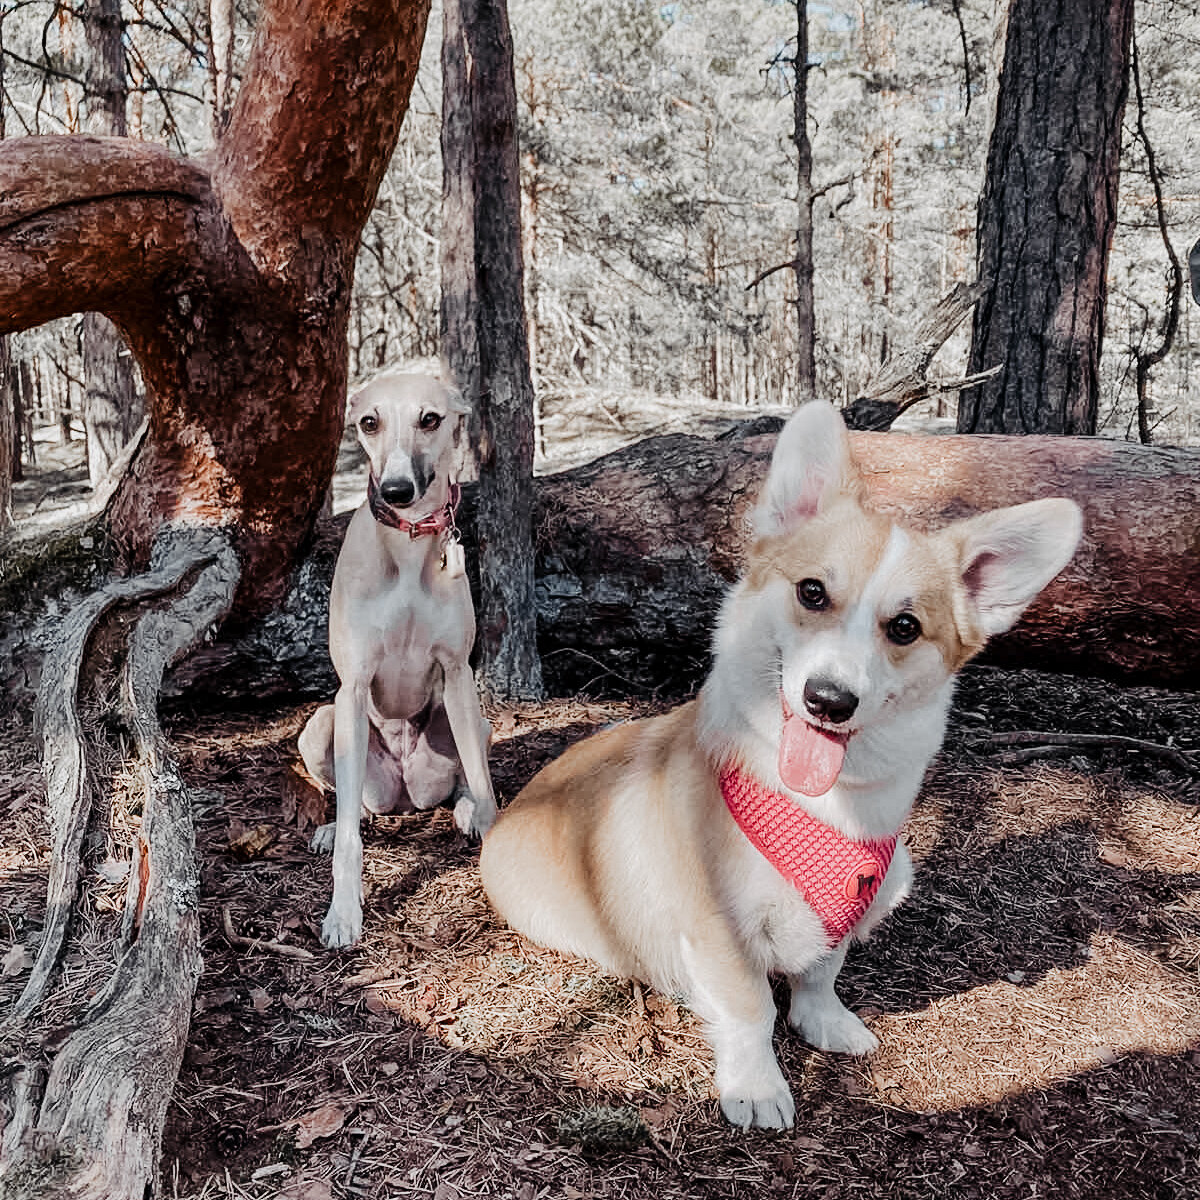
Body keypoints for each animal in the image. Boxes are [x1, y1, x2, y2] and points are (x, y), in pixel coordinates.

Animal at [475, 398, 1080, 1128]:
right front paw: (756, 1086)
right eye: (812, 593)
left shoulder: (849, 913)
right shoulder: (720, 931)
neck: (827, 806)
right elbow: (751, 1009)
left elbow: (819, 976)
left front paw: (826, 1024)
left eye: (905, 627)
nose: (829, 700)